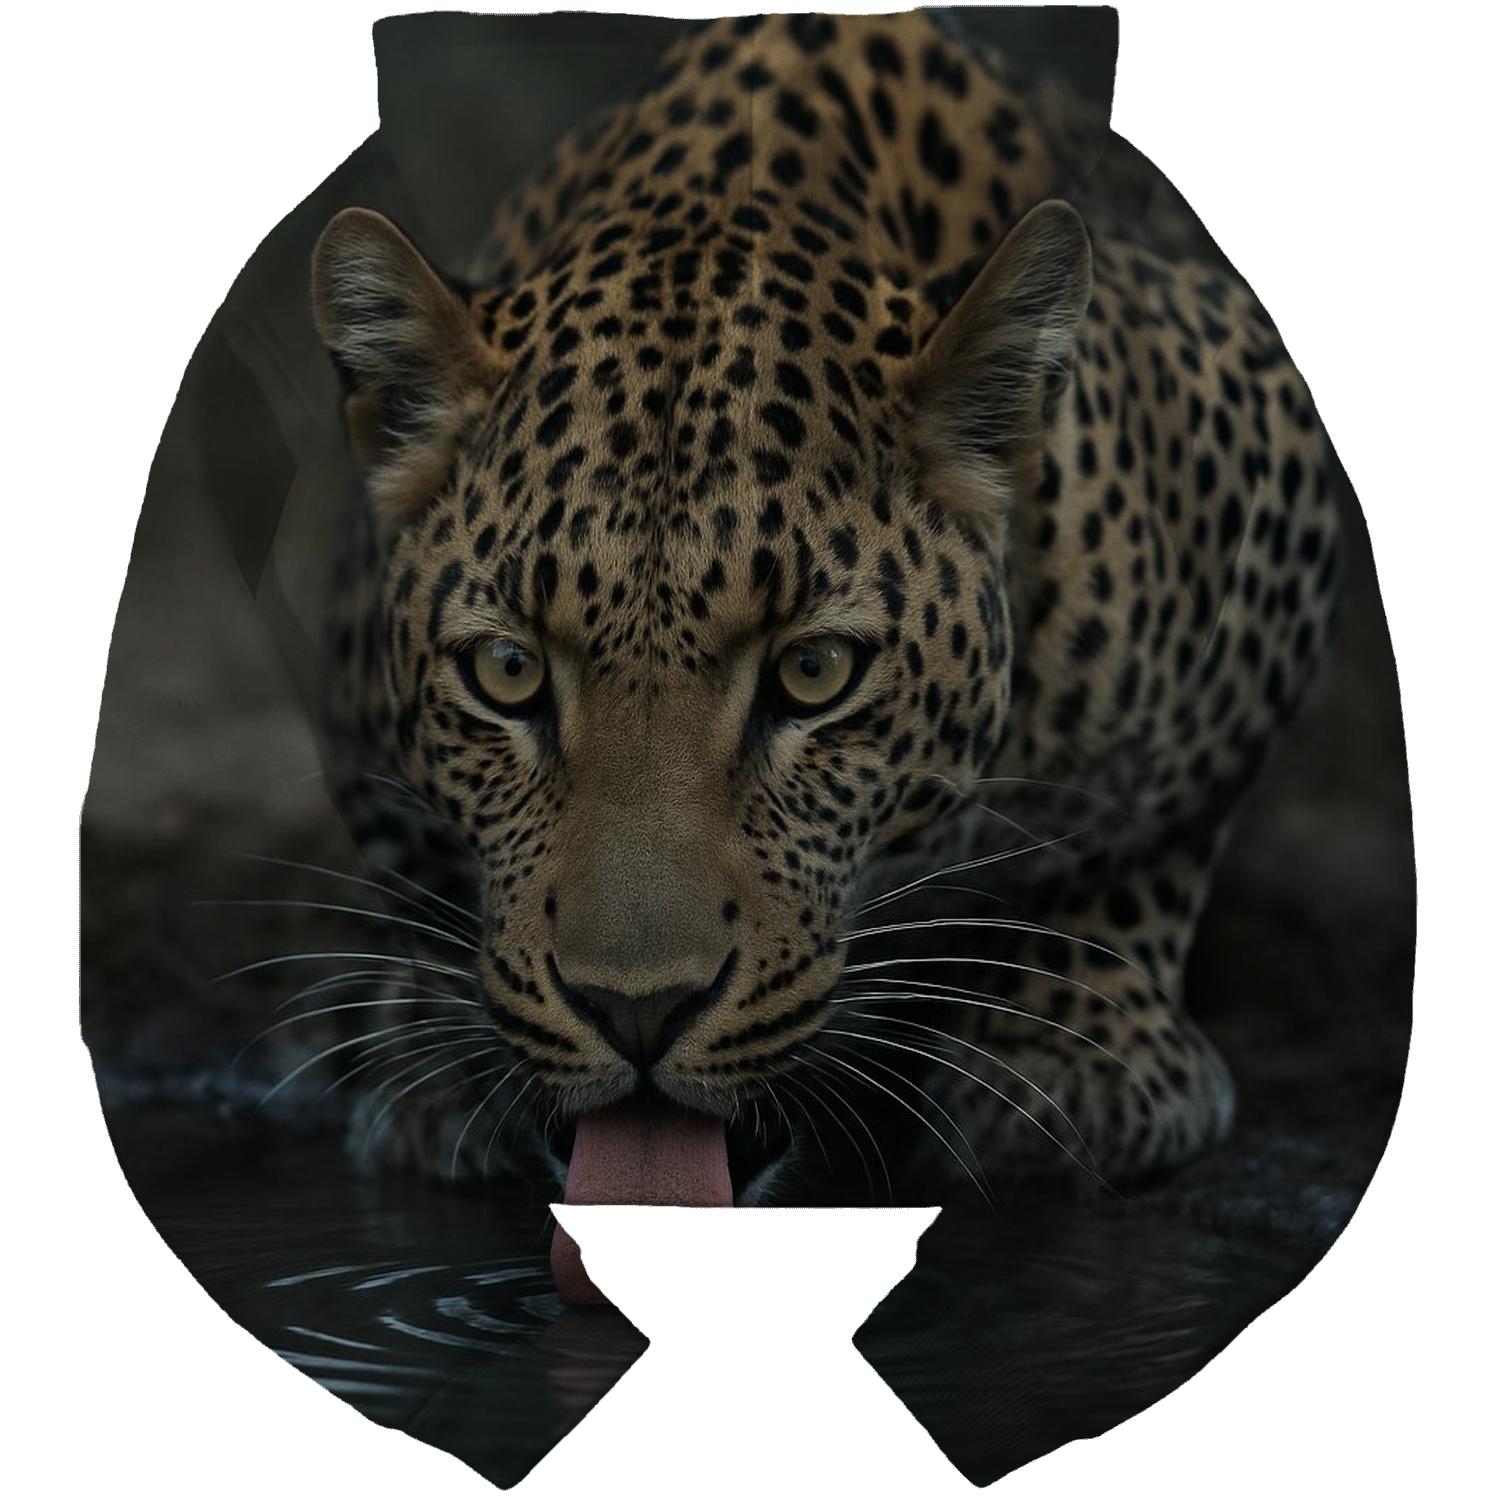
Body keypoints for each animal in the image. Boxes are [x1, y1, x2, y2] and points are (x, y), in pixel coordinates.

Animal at [307, 11, 1340, 1205]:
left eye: (815, 674)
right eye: (506, 673)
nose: (637, 1012)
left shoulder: (1270, 448)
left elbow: (1142, 841)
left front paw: (1070, 1047)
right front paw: (438, 1061)